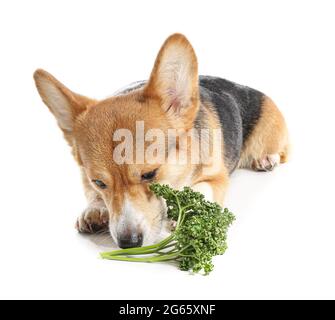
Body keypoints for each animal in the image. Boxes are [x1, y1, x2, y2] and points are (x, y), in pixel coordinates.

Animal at [34, 33, 292, 248]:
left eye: (150, 174)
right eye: (99, 182)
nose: (128, 243)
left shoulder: (217, 178)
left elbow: (201, 188)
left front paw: (190, 209)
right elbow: (92, 196)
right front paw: (95, 210)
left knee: (281, 151)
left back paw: (266, 159)